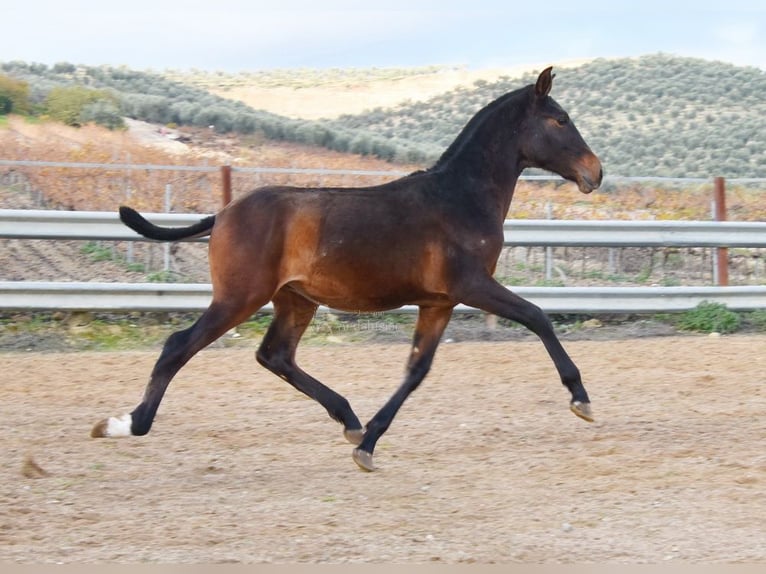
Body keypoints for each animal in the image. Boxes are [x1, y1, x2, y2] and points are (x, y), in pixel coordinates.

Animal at [91, 67, 608, 472]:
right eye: (560, 119)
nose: (596, 172)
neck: (460, 197)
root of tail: (223, 214)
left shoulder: (439, 302)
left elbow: (417, 370)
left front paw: (369, 444)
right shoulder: (473, 285)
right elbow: (537, 316)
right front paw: (580, 398)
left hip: (295, 301)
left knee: (275, 355)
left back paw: (350, 420)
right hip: (239, 297)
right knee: (180, 346)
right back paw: (124, 424)